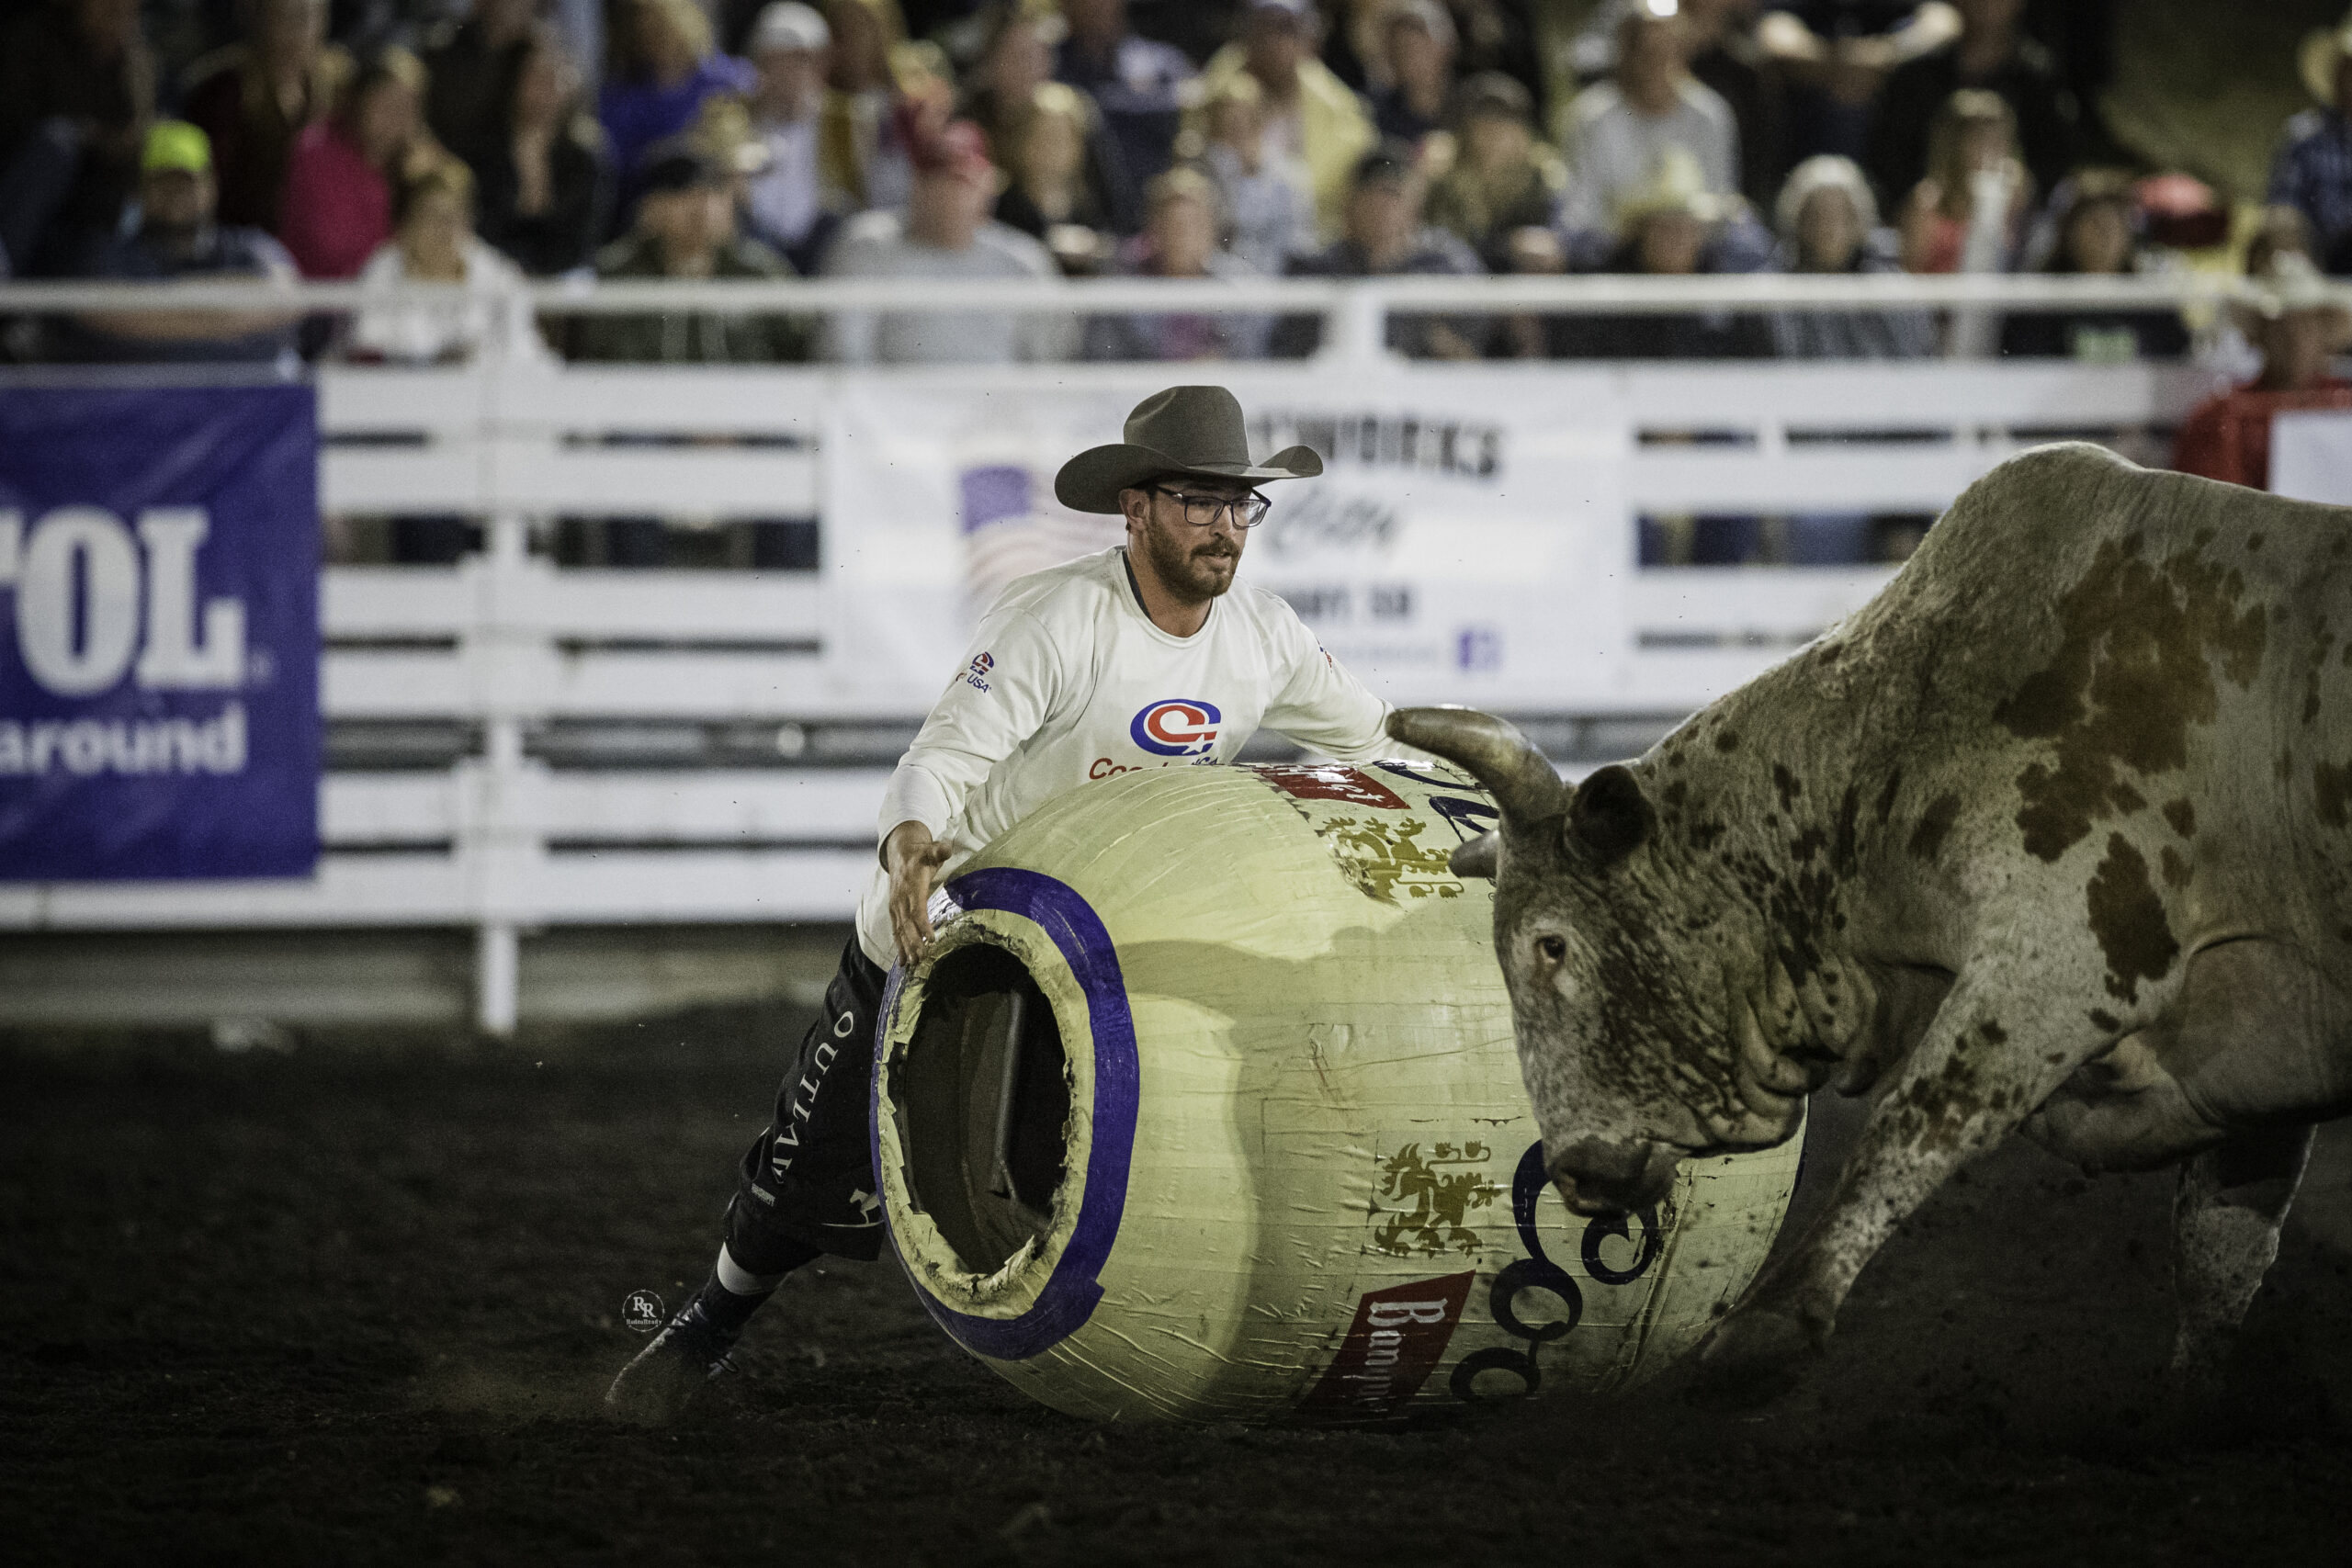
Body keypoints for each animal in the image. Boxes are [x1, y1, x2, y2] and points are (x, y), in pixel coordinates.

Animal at [1383, 444, 2352, 1410]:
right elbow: (2220, 1251)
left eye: (1552, 944)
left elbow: (1915, 1120)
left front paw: (1764, 1331)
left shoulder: (2065, 961)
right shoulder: (2253, 1062)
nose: (1578, 1169)